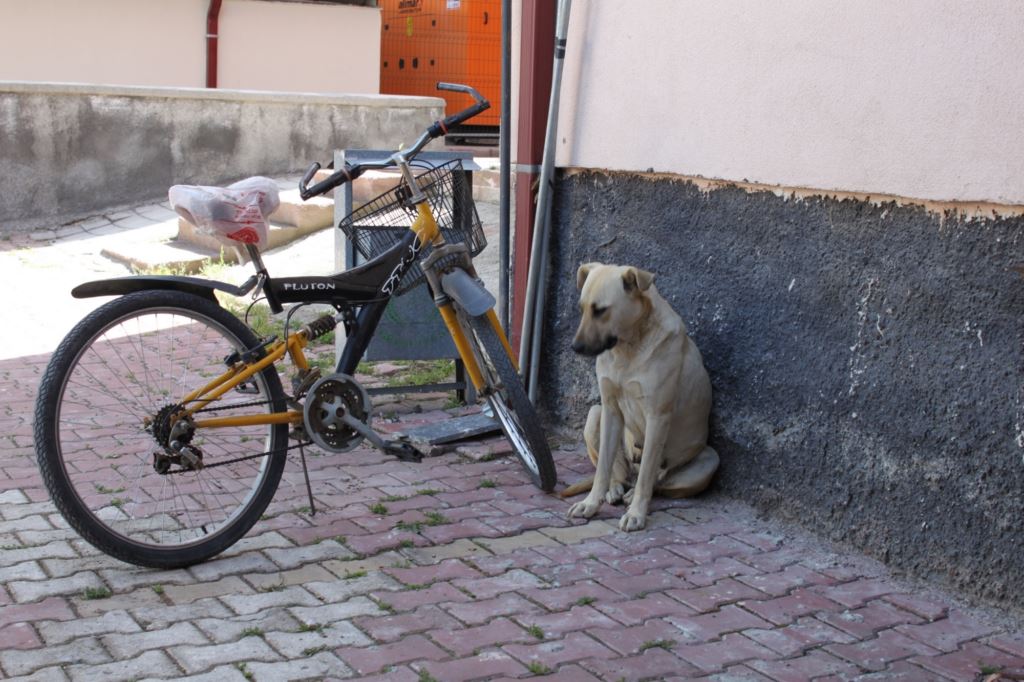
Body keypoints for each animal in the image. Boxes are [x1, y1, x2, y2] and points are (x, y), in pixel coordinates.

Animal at [565, 261, 716, 532]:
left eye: (600, 310)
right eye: (581, 308)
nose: (576, 348)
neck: (627, 348)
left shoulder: (657, 418)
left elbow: (647, 474)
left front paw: (636, 514)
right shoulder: (611, 408)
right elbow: (602, 469)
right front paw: (591, 503)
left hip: (709, 460)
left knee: (654, 481)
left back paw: (630, 494)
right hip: (595, 415)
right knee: (617, 473)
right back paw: (615, 490)